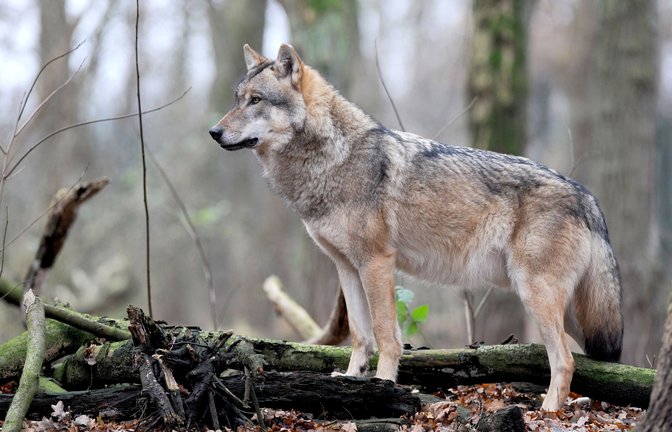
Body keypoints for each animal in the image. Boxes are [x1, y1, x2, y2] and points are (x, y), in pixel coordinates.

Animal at [208, 44, 623, 411]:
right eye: (237, 99)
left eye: (256, 101)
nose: (213, 132)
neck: (332, 158)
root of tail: (588, 196)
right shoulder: (347, 267)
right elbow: (360, 335)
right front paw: (353, 380)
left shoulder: (376, 262)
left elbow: (385, 335)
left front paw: (383, 386)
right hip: (567, 309)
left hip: (537, 294)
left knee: (565, 360)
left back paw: (548, 412)